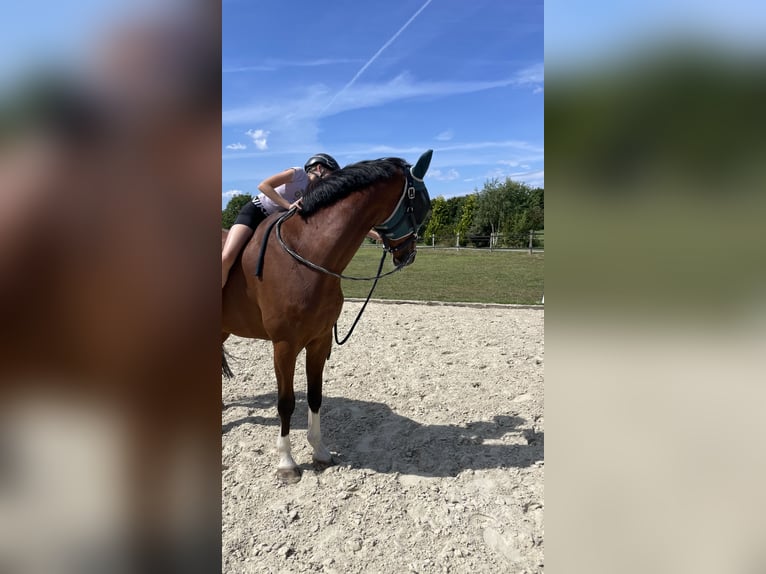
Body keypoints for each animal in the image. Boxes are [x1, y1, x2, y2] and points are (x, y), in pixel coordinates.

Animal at [222, 150, 433, 483]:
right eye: (422, 203)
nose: (409, 254)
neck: (305, 256)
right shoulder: (284, 347)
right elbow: (285, 403)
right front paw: (287, 463)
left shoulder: (319, 342)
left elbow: (315, 396)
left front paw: (320, 452)